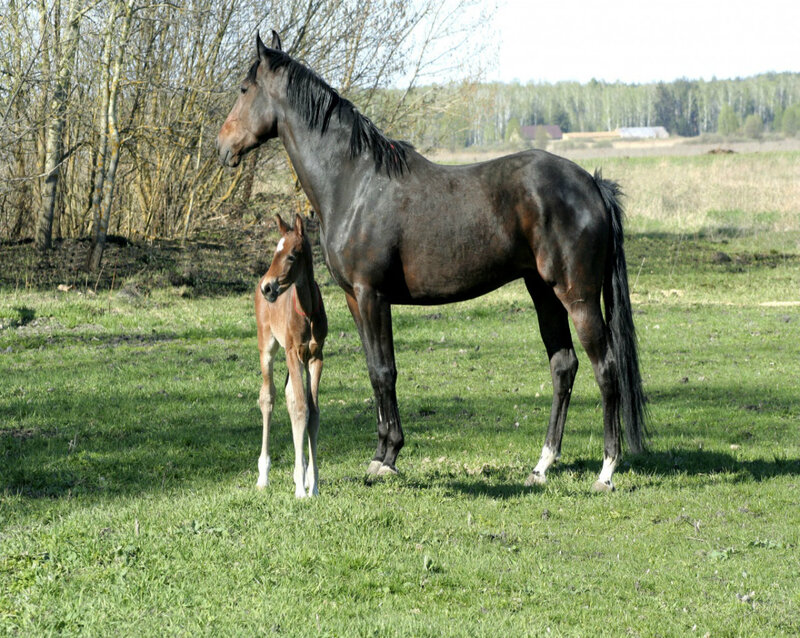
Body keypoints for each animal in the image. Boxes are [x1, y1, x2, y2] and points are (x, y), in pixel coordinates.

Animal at [255, 212, 327, 497]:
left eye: (292, 255)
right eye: (275, 252)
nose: (268, 287)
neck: (306, 311)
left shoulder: (316, 356)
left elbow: (313, 412)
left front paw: (313, 485)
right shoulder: (293, 354)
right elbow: (300, 409)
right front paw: (300, 491)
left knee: (288, 394)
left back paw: (304, 474)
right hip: (268, 346)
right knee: (268, 396)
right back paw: (263, 476)